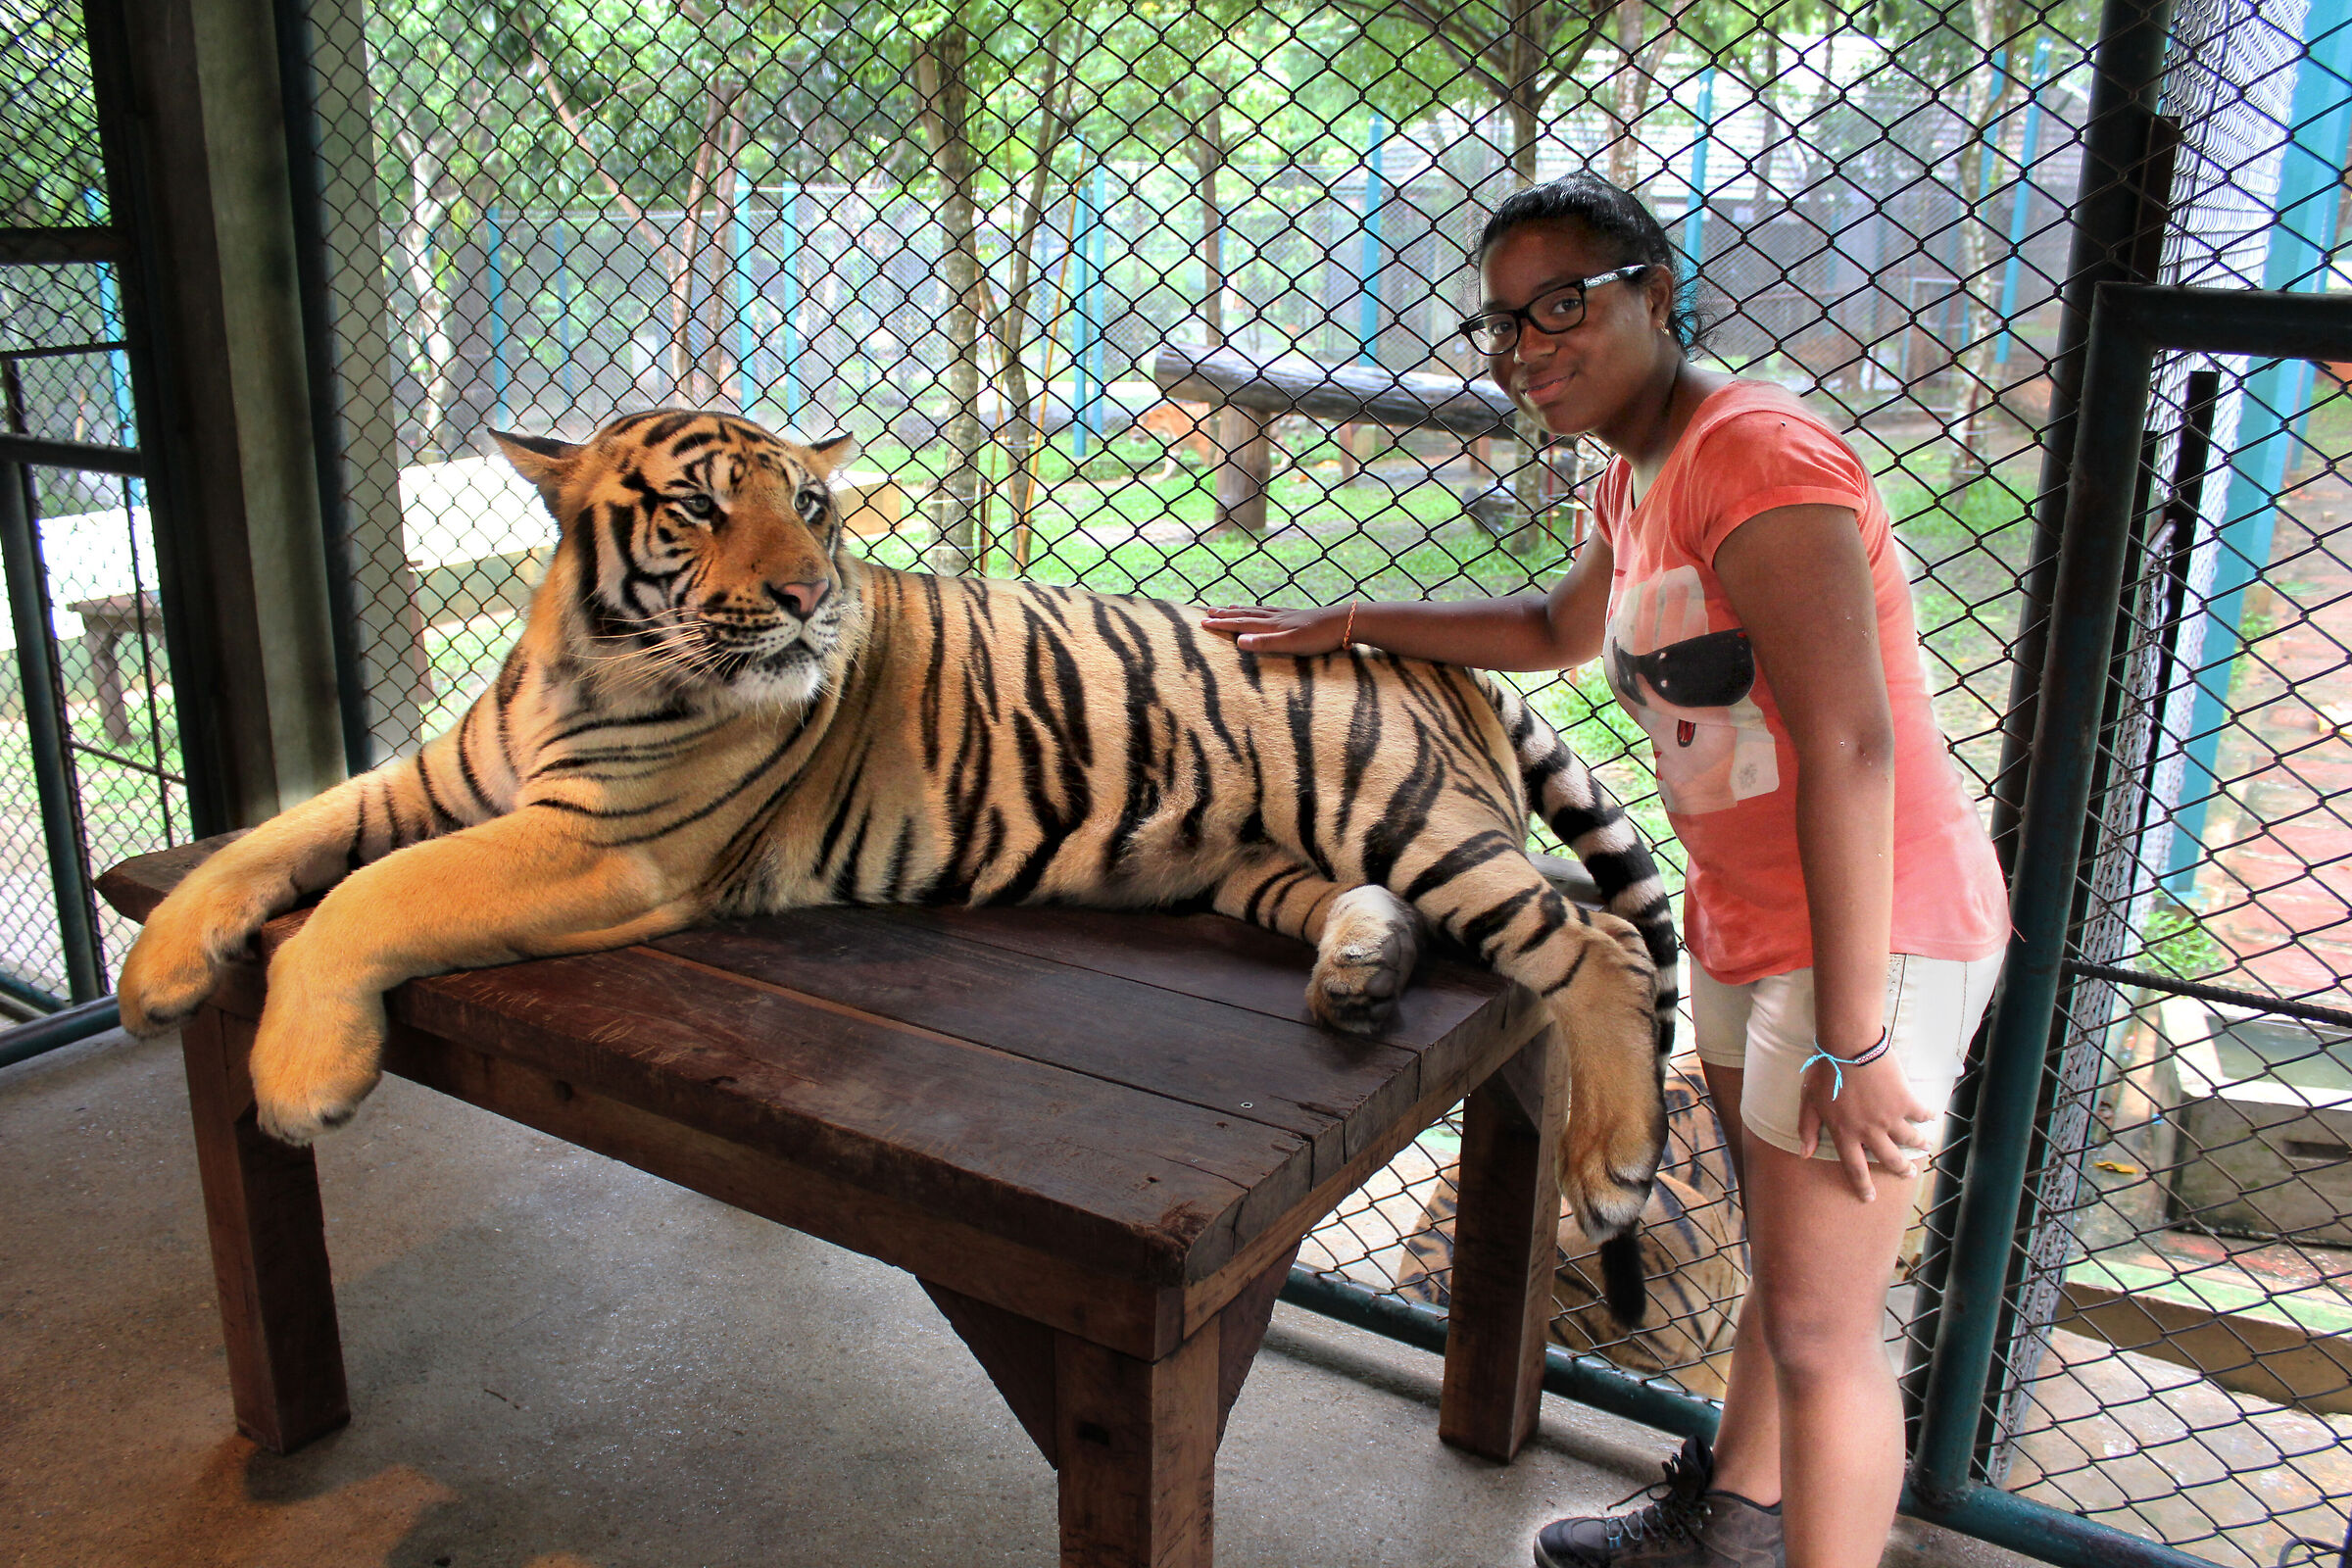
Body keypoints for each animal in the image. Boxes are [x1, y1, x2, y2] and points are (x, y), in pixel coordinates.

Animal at [113, 407, 1680, 1258]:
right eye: (698, 508)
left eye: (811, 506)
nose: (811, 598)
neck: (583, 653)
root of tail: (1433, 655)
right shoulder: (446, 776)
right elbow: (278, 833)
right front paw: (156, 971)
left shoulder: (600, 840)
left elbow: (367, 898)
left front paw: (297, 1077)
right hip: (1257, 857)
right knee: (1386, 911)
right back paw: (1356, 980)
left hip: (1384, 801)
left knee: (1591, 942)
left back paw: (1609, 1172)